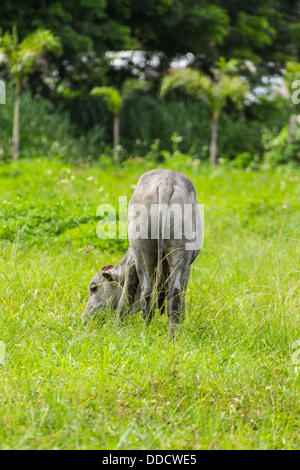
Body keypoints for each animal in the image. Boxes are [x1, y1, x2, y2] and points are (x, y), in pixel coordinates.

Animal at [83, 171, 203, 336]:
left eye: (93, 287)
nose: (84, 318)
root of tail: (166, 180)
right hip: (166, 252)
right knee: (163, 293)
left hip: (147, 251)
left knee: (154, 293)